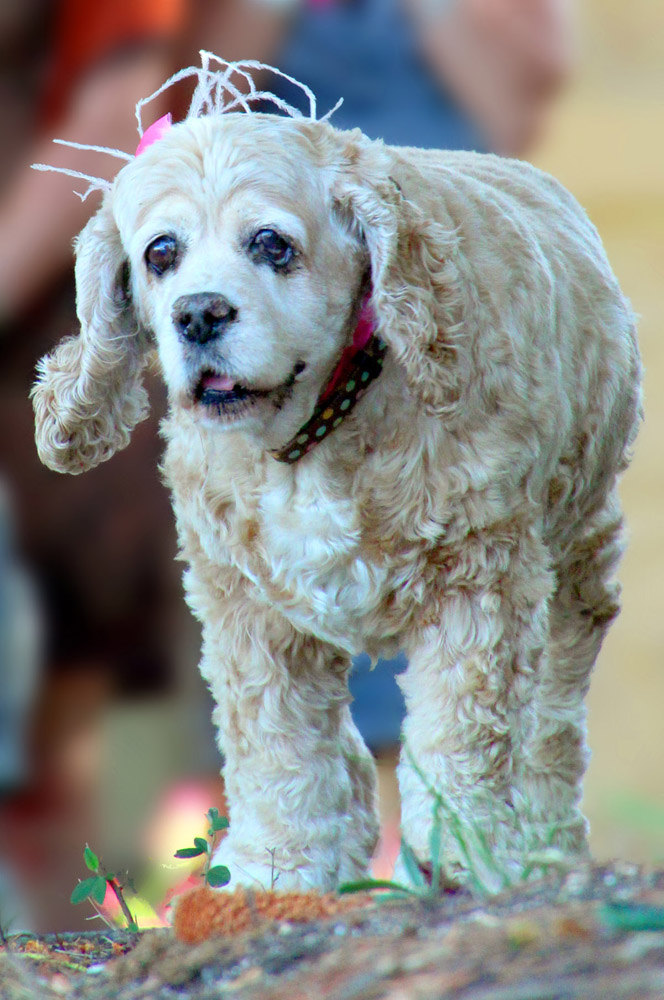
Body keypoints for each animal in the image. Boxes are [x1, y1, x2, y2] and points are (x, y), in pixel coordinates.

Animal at [33, 108, 641, 892]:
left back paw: (543, 839)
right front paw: (279, 866)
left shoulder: (483, 577)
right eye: (161, 252)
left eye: (271, 243)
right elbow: (279, 746)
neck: (313, 439)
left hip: (579, 541)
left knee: (555, 708)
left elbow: (464, 732)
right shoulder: (249, 609)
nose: (198, 314)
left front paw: (466, 850)